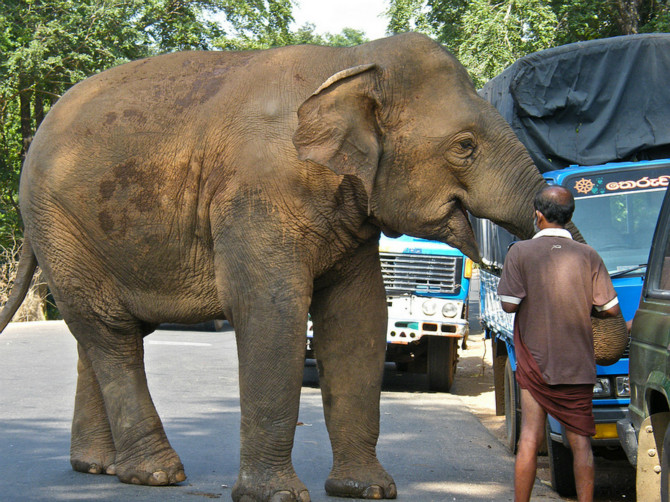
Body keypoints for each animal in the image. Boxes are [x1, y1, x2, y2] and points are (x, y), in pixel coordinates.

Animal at [2, 33, 552, 500]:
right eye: (464, 146)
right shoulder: (257, 194)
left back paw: (99, 467)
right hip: (58, 222)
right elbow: (271, 311)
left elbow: (358, 318)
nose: (558, 205)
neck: (350, 62)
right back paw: (156, 474)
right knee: (110, 332)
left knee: (100, 330)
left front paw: (368, 490)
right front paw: (278, 495)